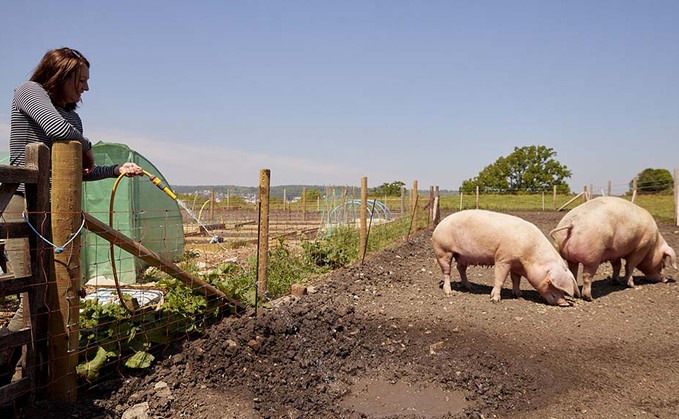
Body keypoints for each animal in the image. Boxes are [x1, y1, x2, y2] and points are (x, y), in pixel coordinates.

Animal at [432, 209, 576, 306]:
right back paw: (449, 292)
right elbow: (500, 278)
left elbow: (516, 280)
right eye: (550, 283)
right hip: (443, 250)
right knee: (447, 271)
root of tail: (439, 225)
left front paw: (519, 294)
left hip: (462, 256)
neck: (529, 256)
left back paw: (469, 287)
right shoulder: (503, 258)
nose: (564, 303)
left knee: (461, 268)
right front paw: (495, 299)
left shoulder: (516, 265)